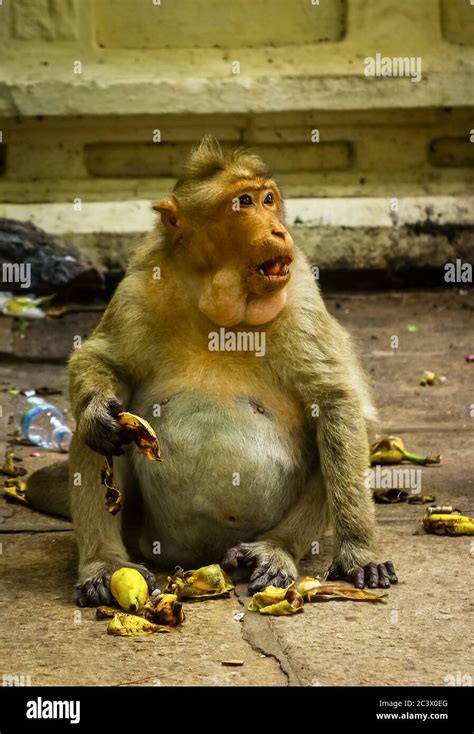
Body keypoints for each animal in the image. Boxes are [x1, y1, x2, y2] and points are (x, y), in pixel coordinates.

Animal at [25, 136, 397, 606]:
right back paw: (104, 565)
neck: (217, 302)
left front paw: (358, 554)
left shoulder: (299, 297)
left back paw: (274, 550)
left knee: (344, 430)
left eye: (269, 199)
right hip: (143, 530)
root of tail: (203, 555)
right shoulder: (138, 290)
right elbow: (101, 361)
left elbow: (335, 400)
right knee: (104, 435)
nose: (279, 231)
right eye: (244, 202)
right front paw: (96, 414)